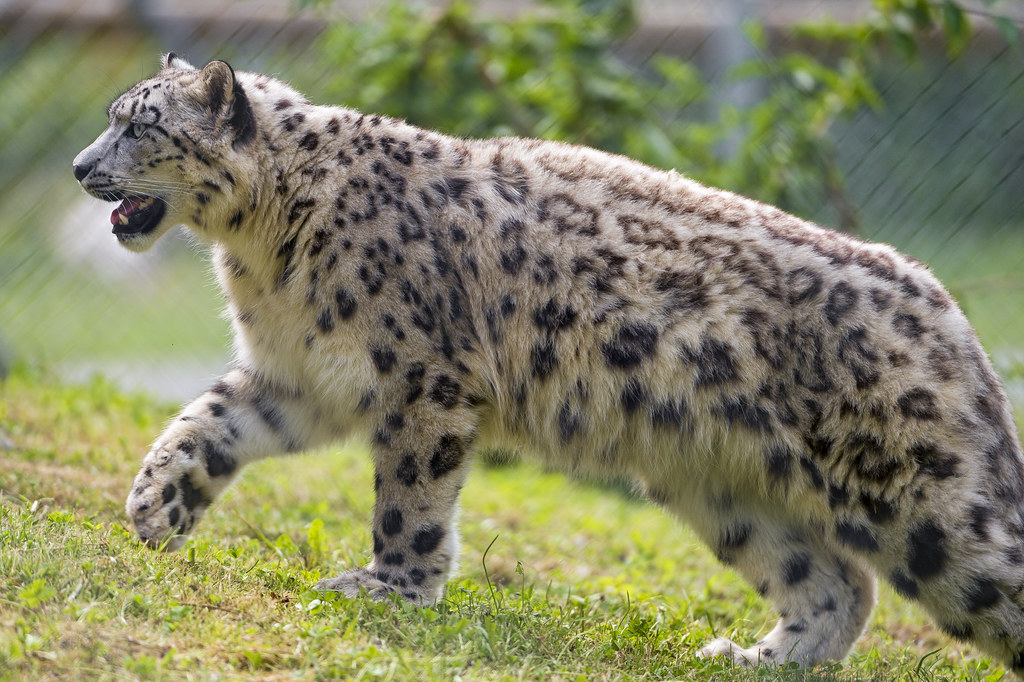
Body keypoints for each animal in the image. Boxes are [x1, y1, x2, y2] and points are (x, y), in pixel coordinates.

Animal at [72, 54, 1024, 667]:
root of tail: (954, 318)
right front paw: (154, 509)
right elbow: (204, 423)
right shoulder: (298, 376)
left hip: (926, 505)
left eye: (140, 125)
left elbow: (408, 501)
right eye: (113, 117)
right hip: (725, 493)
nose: (81, 166)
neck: (260, 253)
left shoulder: (422, 381)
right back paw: (754, 656)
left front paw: (390, 589)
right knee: (838, 584)